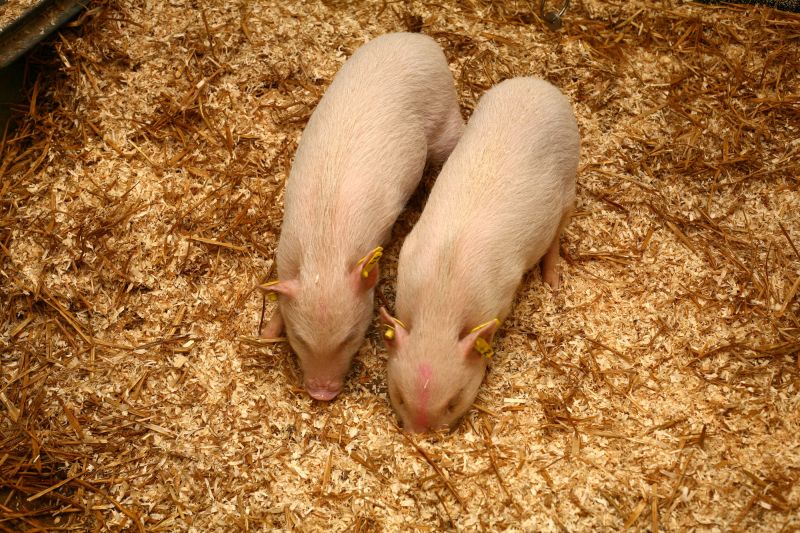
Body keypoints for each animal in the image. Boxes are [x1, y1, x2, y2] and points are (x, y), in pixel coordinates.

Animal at [260, 33, 464, 401]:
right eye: (300, 339)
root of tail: (423, 42)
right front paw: (267, 333)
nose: (321, 394)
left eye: (350, 337)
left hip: (444, 115)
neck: (325, 251)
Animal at [380, 77, 579, 431]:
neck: (441, 299)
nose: (420, 436)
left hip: (570, 179)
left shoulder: (500, 297)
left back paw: (552, 282)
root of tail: (538, 84)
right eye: (400, 396)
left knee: (558, 232)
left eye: (453, 400)